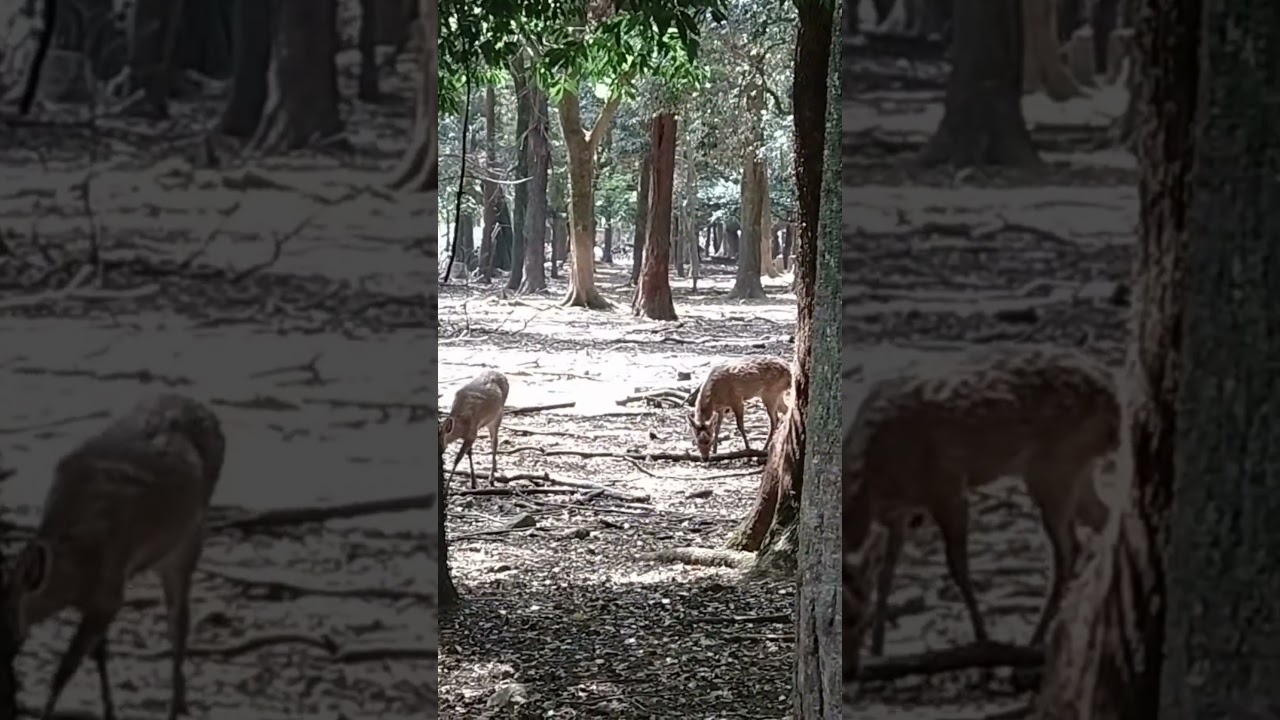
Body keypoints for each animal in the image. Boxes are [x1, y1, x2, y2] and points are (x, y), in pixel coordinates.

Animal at [3, 393, 225, 720]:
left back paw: (177, 705)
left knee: (179, 619)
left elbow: (65, 669)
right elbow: (99, 652)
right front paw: (108, 709)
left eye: (3, 614)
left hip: (188, 540)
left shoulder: (110, 592)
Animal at [844, 345, 1119, 655]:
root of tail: (1114, 394)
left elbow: (957, 566)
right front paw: (878, 647)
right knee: (1105, 517)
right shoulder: (899, 514)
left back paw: (1037, 638)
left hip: (1055, 467)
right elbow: (887, 574)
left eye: (856, 621)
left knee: (1070, 548)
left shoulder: (947, 488)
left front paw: (983, 636)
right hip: (1077, 469)